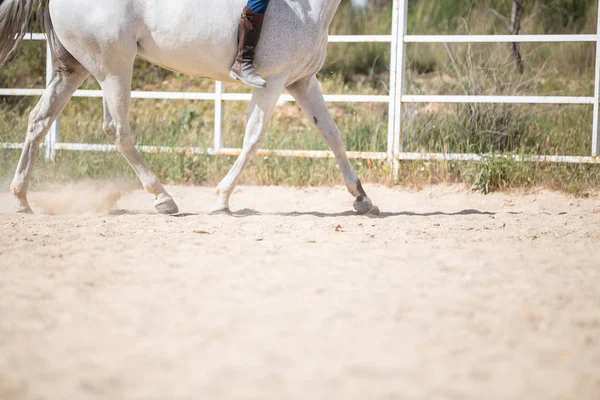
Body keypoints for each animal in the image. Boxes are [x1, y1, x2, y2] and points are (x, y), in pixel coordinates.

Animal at [1, 0, 380, 216]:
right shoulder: (272, 82)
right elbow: (253, 138)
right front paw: (222, 199)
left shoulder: (302, 81)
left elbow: (332, 135)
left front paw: (362, 198)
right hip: (113, 67)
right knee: (116, 129)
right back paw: (163, 198)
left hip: (72, 69)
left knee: (39, 121)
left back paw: (21, 199)